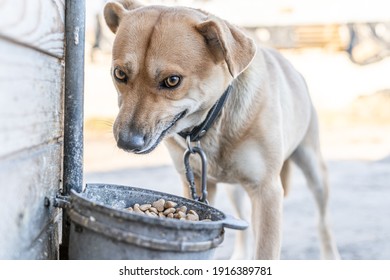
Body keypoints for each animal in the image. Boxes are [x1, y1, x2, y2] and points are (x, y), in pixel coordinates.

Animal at [103, 0, 338, 260]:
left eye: (173, 80)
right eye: (119, 74)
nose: (127, 142)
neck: (211, 123)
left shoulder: (267, 192)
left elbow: (265, 250)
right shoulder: (195, 184)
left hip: (314, 169)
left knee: (323, 222)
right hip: (233, 188)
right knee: (244, 221)